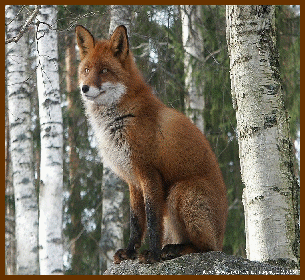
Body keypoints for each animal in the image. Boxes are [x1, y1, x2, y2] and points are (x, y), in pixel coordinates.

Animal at [75, 25, 227, 264]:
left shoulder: (148, 172)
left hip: (181, 191)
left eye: (105, 70)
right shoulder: (133, 180)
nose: (84, 88)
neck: (119, 120)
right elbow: (137, 221)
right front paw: (129, 252)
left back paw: (175, 249)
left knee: (206, 248)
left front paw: (152, 254)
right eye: (87, 69)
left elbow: (153, 220)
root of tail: (221, 239)